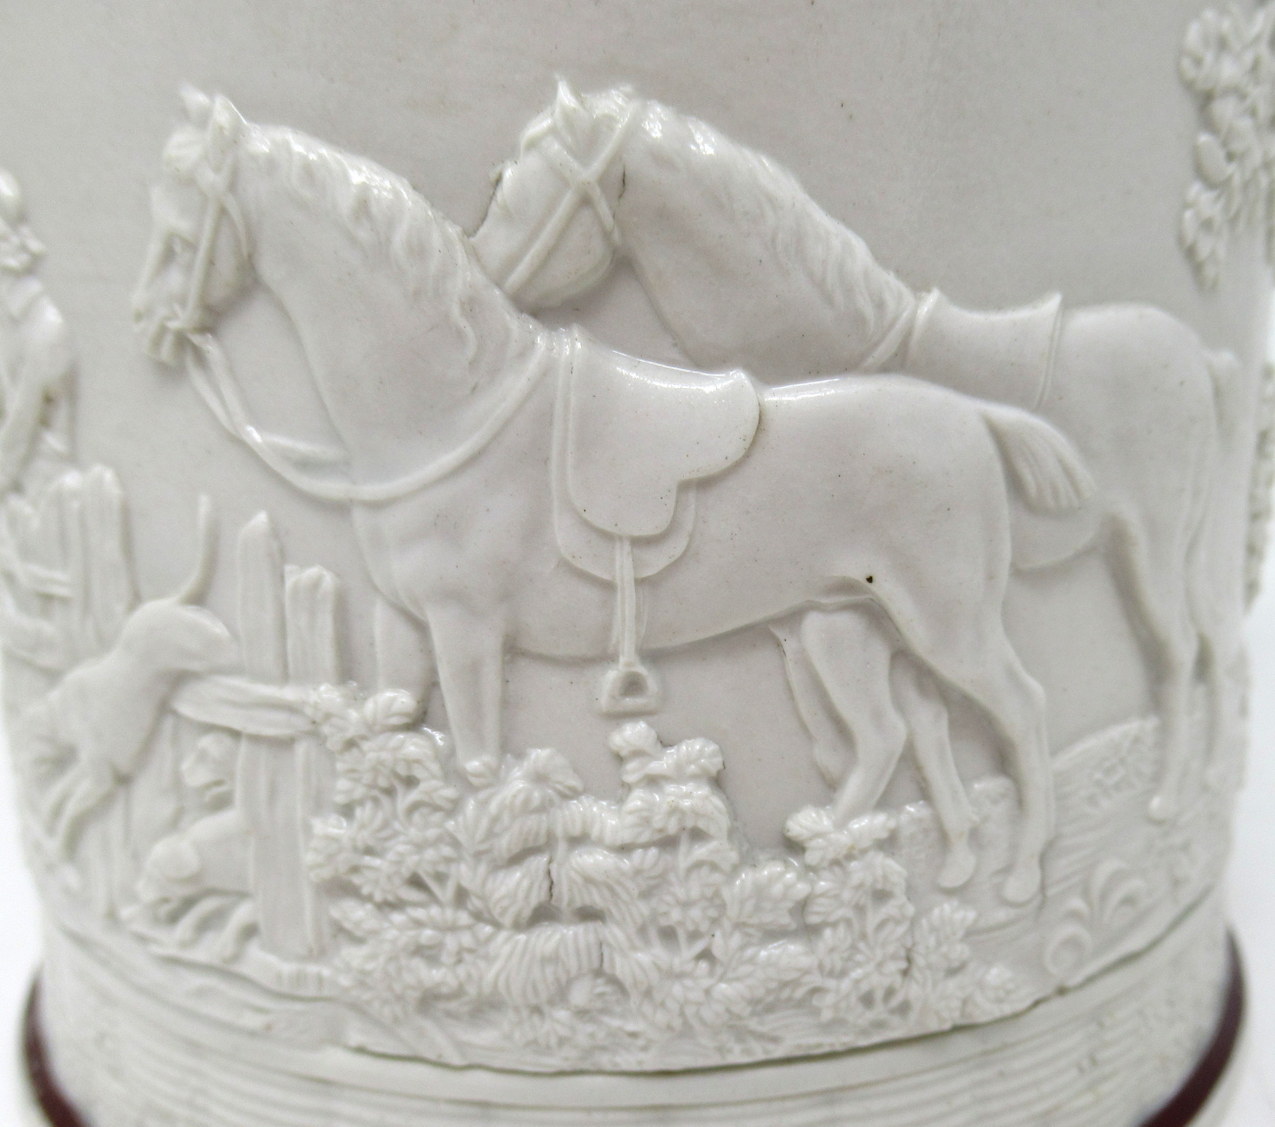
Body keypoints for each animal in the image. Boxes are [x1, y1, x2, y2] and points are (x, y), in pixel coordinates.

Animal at [131, 90, 1097, 902]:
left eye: (179, 229)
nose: (149, 325)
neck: (451, 411)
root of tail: (973, 415)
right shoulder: (402, 623)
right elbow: (394, 735)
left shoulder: (465, 627)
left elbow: (475, 761)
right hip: (845, 627)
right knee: (898, 729)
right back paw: (874, 856)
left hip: (942, 620)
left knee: (1016, 707)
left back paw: (1009, 874)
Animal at [470, 80, 1241, 824]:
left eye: (510, 187)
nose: (481, 284)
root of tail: (1195, 357)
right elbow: (860, 722)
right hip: (1184, 547)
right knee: (1211, 640)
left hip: (1148, 543)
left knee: (1173, 652)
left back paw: (1167, 799)